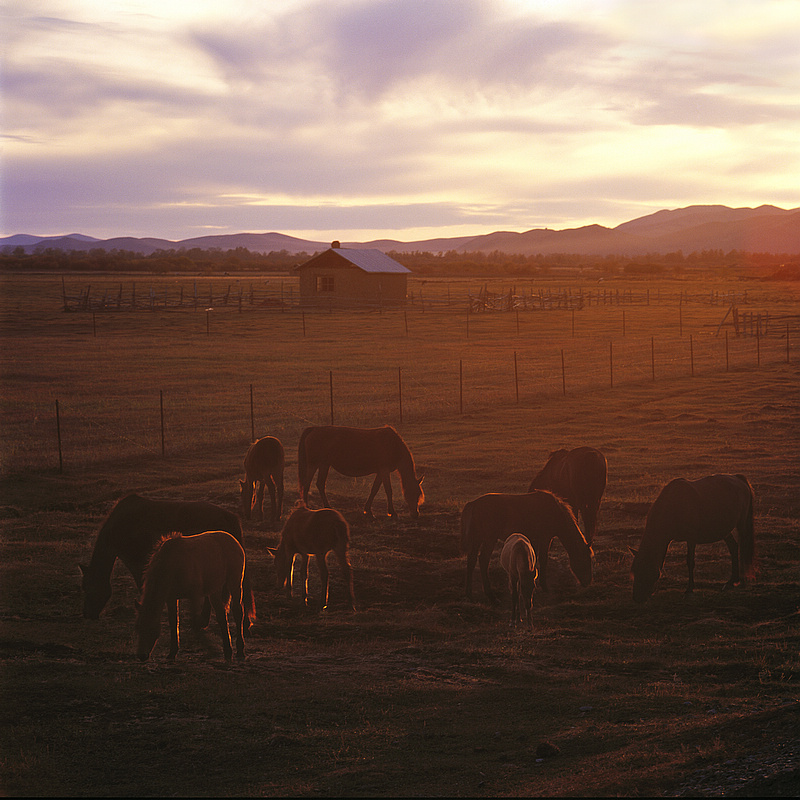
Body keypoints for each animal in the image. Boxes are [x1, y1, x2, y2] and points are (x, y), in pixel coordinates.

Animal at [79, 490, 255, 636]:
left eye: (87, 587)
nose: (86, 614)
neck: (118, 525)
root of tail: (229, 516)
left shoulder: (137, 561)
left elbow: (142, 583)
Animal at [134, 532, 244, 664]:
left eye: (150, 628)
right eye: (138, 628)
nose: (141, 655)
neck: (172, 564)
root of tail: (234, 540)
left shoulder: (194, 596)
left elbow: (194, 620)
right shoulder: (171, 598)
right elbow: (174, 622)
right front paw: (172, 653)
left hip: (235, 583)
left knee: (238, 612)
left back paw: (240, 650)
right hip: (215, 590)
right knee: (221, 616)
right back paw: (228, 652)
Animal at [460, 490, 592, 604]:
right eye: (585, 560)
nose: (588, 582)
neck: (554, 511)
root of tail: (474, 504)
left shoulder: (535, 539)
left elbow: (534, 559)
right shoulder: (545, 538)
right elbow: (543, 560)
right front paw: (544, 587)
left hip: (478, 539)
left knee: (471, 561)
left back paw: (469, 594)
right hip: (489, 539)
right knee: (483, 561)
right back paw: (491, 596)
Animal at [632, 472, 756, 604]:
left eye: (646, 570)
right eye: (634, 571)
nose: (637, 598)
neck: (674, 506)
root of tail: (738, 479)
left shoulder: (691, 539)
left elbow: (690, 561)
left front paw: (689, 589)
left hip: (741, 524)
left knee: (743, 548)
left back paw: (742, 580)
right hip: (724, 529)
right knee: (733, 547)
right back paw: (732, 581)